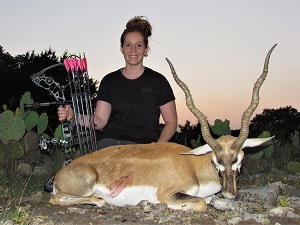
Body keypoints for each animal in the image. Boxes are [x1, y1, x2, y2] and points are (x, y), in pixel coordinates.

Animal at [49, 44, 276, 212]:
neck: (193, 165)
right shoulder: (169, 194)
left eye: (240, 159)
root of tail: (59, 174)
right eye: (216, 161)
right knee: (63, 199)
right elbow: (201, 203)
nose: (230, 193)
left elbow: (211, 200)